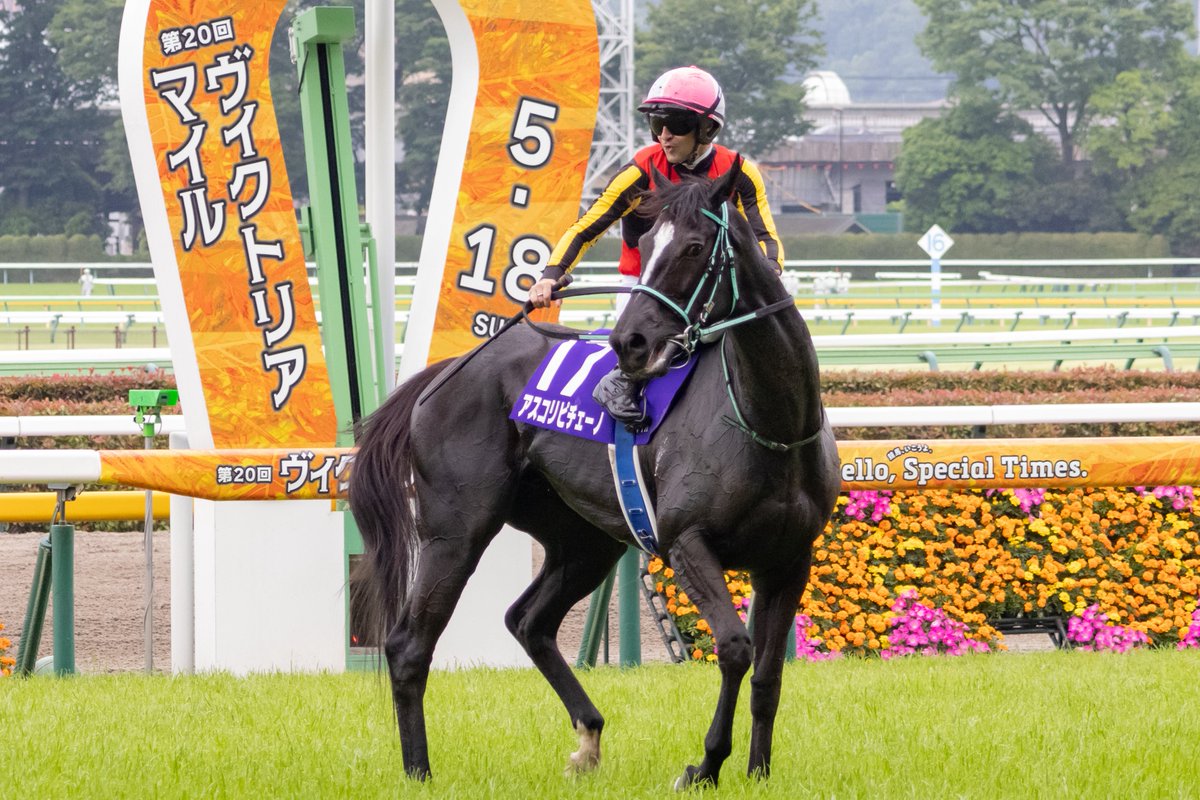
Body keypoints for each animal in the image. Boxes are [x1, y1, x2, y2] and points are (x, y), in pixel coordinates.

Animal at [348, 163, 841, 788]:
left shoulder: (788, 561)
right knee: (409, 644)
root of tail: (445, 372)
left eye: (695, 246)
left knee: (528, 621)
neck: (768, 420)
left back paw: (588, 736)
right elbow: (734, 647)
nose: (628, 342)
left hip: (583, 540)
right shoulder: (687, 543)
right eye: (644, 244)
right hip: (455, 531)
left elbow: (769, 676)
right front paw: (704, 765)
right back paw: (419, 772)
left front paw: (757, 772)